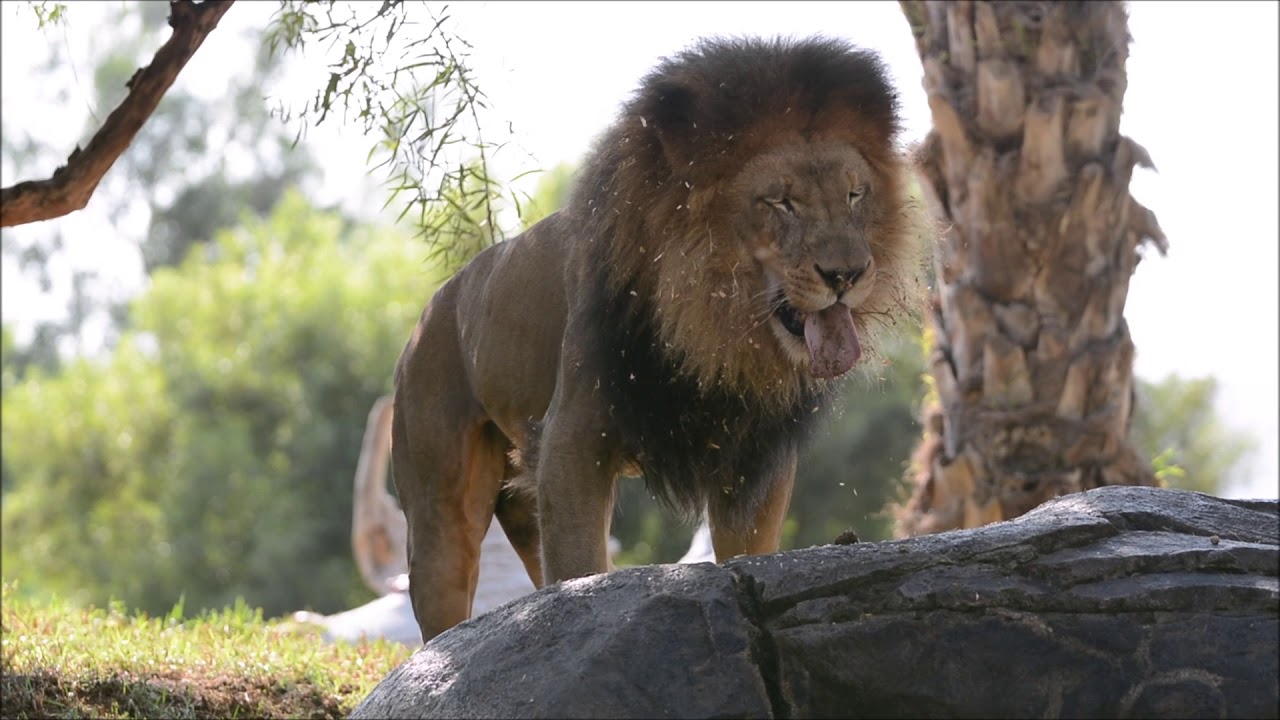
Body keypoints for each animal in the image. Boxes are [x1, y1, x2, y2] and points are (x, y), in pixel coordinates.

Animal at [392, 36, 928, 643]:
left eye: (856, 195)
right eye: (781, 202)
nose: (848, 275)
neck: (715, 333)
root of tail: (432, 307)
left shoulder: (752, 459)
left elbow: (747, 553)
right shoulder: (571, 443)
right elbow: (580, 571)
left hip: (522, 505)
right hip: (440, 511)